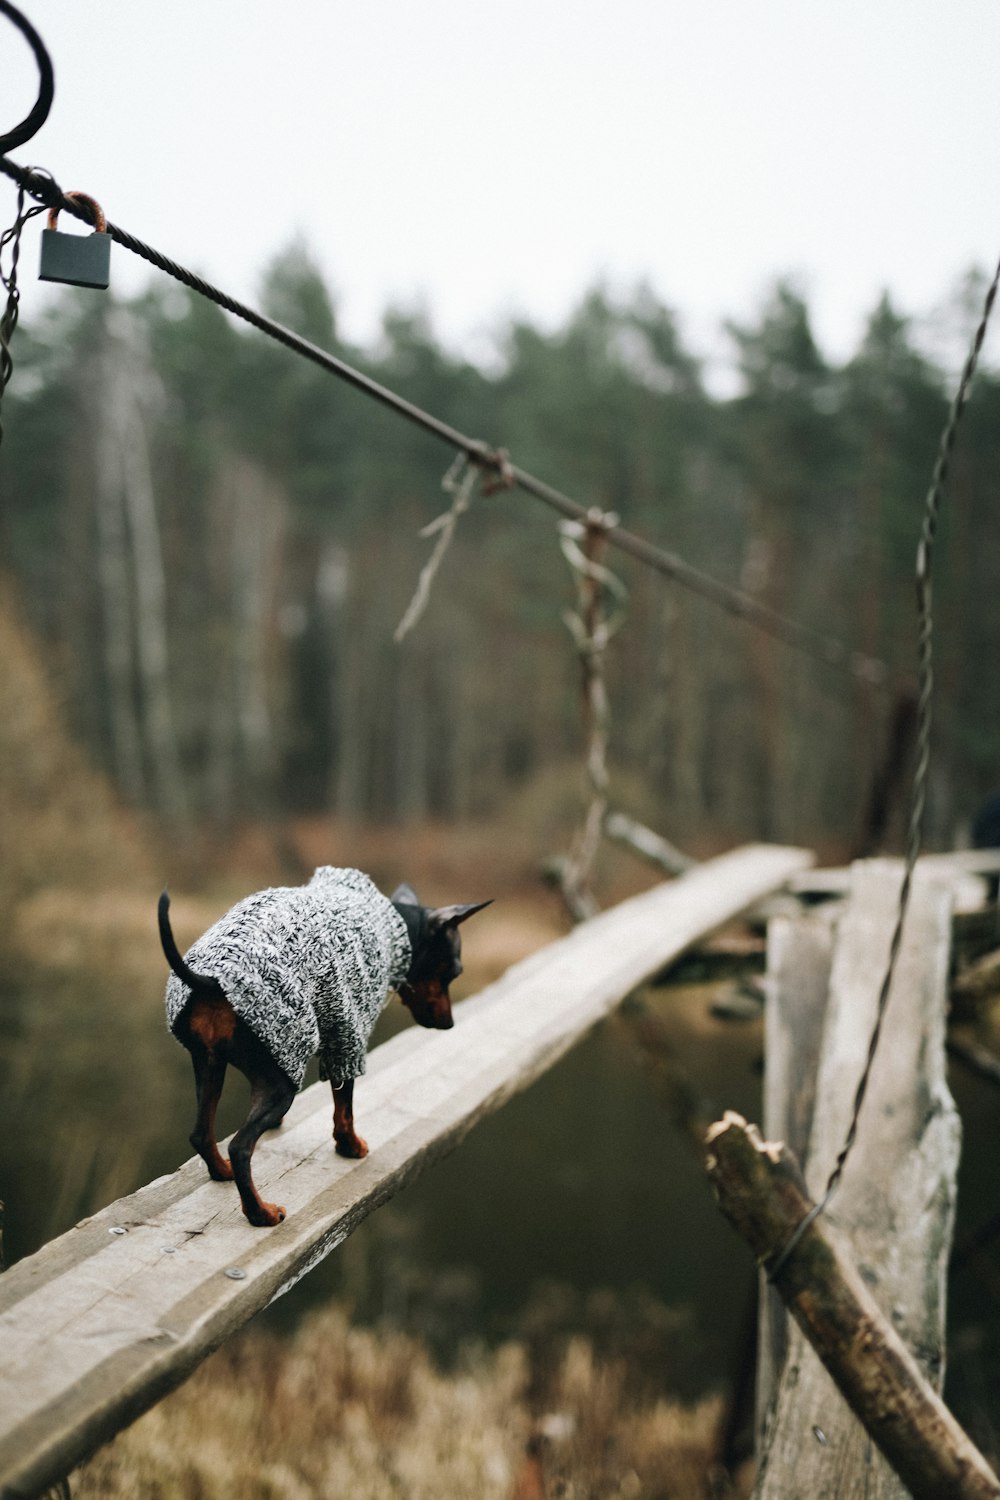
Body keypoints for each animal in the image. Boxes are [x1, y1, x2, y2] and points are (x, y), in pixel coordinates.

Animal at [158, 870, 491, 1230]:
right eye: (455, 972)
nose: (449, 1024)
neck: (395, 927)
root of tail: (209, 981)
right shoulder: (348, 1038)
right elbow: (344, 1109)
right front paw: (350, 1146)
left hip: (210, 1065)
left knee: (201, 1135)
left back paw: (222, 1171)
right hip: (277, 1080)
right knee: (240, 1147)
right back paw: (261, 1213)